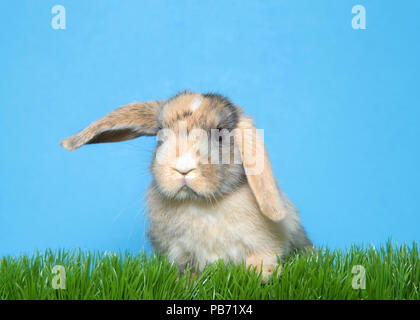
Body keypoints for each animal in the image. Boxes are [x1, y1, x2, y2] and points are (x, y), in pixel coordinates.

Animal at [61, 90, 312, 282]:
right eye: (159, 136)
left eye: (220, 135)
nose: (182, 168)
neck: (200, 205)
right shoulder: (180, 253)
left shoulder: (265, 244)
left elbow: (262, 257)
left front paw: (264, 273)